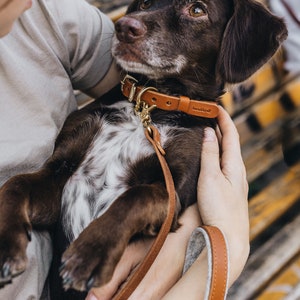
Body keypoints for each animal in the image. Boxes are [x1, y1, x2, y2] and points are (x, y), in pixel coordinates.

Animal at [0, 0, 286, 298]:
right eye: (145, 3)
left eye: (197, 10)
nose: (124, 27)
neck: (149, 103)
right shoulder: (60, 173)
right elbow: (14, 185)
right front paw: (6, 244)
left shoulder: (174, 192)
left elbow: (136, 197)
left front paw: (89, 253)